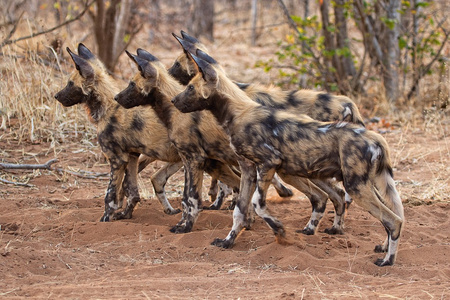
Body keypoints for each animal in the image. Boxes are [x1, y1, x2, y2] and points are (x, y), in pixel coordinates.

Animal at [55, 42, 188, 220]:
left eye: (70, 83)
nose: (56, 96)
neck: (106, 106)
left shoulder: (116, 160)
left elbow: (110, 196)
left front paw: (106, 219)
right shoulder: (131, 156)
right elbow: (132, 192)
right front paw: (126, 215)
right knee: (158, 179)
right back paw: (171, 210)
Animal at [114, 48, 346, 236]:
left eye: (131, 84)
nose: (116, 97)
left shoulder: (193, 160)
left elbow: (191, 198)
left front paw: (186, 227)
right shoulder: (199, 162)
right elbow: (193, 198)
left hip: (294, 171)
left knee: (327, 196)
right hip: (302, 171)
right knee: (332, 195)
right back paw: (330, 228)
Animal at [171, 49, 404, 268]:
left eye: (190, 88)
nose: (173, 100)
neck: (237, 112)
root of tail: (375, 137)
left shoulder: (268, 163)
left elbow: (257, 204)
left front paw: (280, 231)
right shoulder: (248, 170)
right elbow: (239, 210)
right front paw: (228, 241)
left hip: (356, 187)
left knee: (393, 221)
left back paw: (388, 260)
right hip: (364, 184)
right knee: (394, 216)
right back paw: (379, 247)